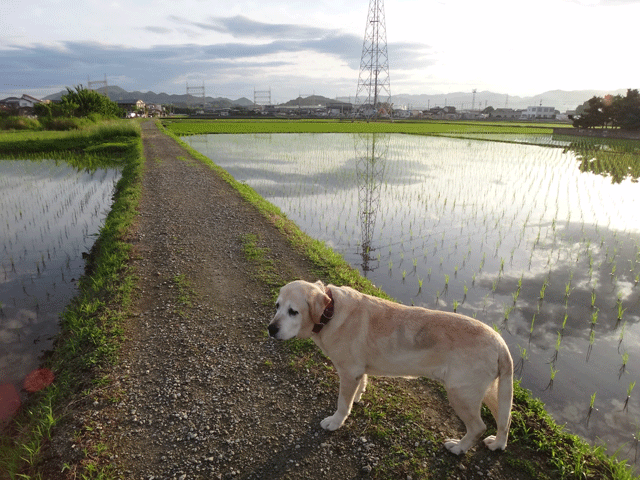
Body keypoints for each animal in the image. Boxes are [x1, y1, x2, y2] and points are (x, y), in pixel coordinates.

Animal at [268, 278, 512, 454]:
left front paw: (335, 422)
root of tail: (500, 343)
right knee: (504, 420)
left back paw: (459, 448)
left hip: (461, 394)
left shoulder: (348, 372)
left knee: (478, 427)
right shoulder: (358, 370)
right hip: (491, 392)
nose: (270, 329)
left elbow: (342, 404)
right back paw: (497, 444)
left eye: (293, 311)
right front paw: (358, 397)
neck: (330, 313)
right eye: (277, 306)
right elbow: (361, 385)